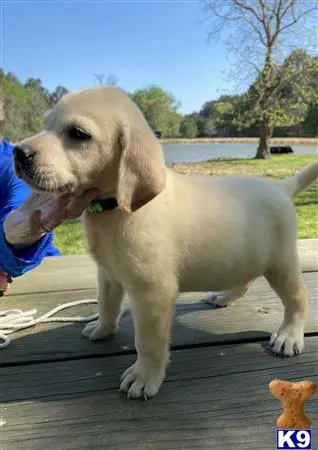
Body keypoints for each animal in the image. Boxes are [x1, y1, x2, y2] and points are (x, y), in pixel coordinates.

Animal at [13, 86, 318, 400]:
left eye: (77, 134)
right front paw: (102, 328)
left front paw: (145, 376)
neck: (114, 209)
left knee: (298, 297)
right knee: (244, 280)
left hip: (281, 262)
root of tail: (281, 187)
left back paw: (289, 335)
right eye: (45, 125)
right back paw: (223, 296)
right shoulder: (108, 274)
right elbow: (107, 304)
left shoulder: (151, 293)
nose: (18, 152)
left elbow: (148, 341)